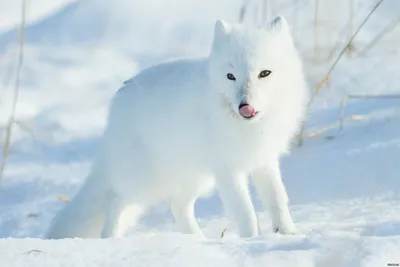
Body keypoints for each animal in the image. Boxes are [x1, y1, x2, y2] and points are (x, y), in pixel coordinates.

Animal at [46, 15, 310, 240]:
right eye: (230, 76)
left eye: (265, 73)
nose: (243, 105)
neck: (251, 128)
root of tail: (116, 104)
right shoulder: (228, 170)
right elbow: (245, 212)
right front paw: (252, 240)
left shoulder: (264, 160)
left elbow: (278, 199)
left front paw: (289, 234)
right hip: (145, 182)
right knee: (116, 203)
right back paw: (111, 240)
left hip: (196, 177)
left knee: (177, 205)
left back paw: (197, 240)